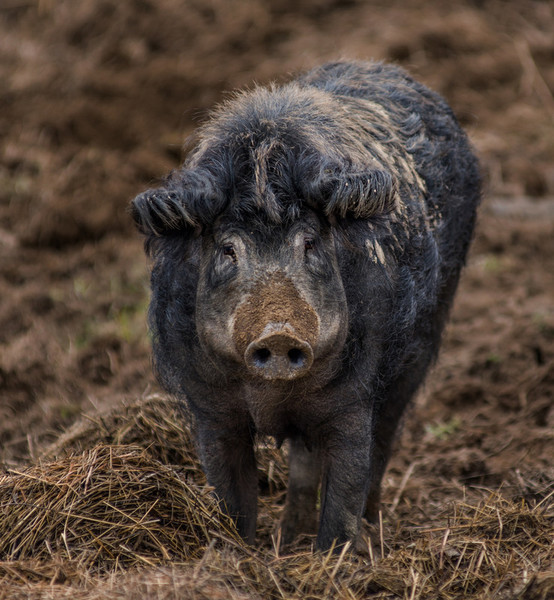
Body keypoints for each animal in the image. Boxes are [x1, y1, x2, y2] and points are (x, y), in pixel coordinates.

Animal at [130, 62, 478, 552]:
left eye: (309, 243)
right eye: (228, 249)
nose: (278, 332)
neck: (272, 397)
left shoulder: (354, 401)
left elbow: (347, 489)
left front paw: (332, 557)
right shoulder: (210, 410)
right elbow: (231, 498)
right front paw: (236, 553)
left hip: (424, 341)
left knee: (384, 440)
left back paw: (367, 531)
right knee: (302, 462)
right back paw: (288, 538)